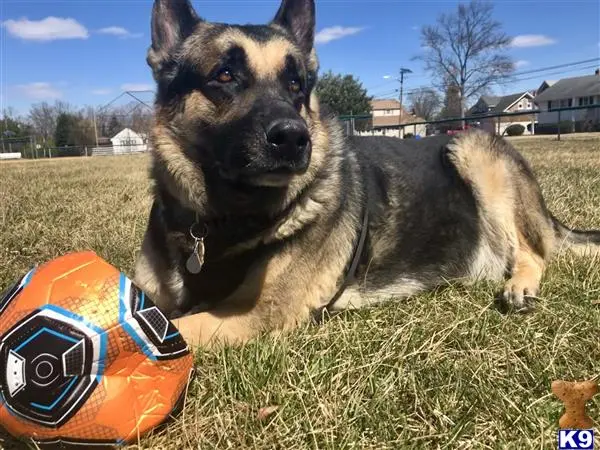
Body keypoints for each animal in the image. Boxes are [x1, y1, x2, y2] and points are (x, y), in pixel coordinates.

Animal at [136, 0, 600, 348]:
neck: (216, 222)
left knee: (534, 251)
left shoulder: (255, 313)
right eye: (225, 75)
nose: (294, 139)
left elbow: (170, 331)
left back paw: (521, 284)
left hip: (473, 151)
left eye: (295, 83)